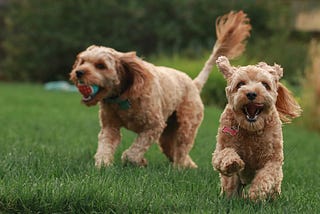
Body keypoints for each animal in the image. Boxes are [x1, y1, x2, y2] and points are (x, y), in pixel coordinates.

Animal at [70, 11, 252, 169]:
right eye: (83, 61)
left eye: (101, 65)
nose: (78, 72)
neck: (123, 97)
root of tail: (194, 83)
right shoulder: (110, 126)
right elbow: (105, 145)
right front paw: (103, 165)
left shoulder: (154, 125)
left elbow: (134, 151)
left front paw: (136, 160)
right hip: (168, 132)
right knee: (173, 149)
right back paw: (189, 165)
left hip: (186, 125)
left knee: (181, 147)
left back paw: (179, 167)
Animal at [211, 55, 302, 201]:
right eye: (240, 84)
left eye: (265, 85)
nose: (251, 94)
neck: (251, 129)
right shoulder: (220, 148)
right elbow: (225, 154)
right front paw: (233, 163)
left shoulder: (273, 159)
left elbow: (266, 175)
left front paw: (256, 193)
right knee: (230, 186)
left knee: (274, 187)